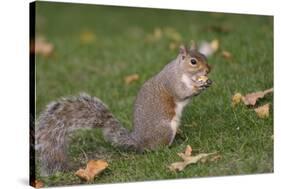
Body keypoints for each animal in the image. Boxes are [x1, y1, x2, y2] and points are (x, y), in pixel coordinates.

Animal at [35, 44, 210, 176]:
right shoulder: (173, 83)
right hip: (165, 129)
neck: (181, 71)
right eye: (193, 61)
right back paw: (173, 147)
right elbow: (182, 93)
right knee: (156, 149)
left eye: (204, 55)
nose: (208, 70)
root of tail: (139, 142)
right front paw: (199, 87)